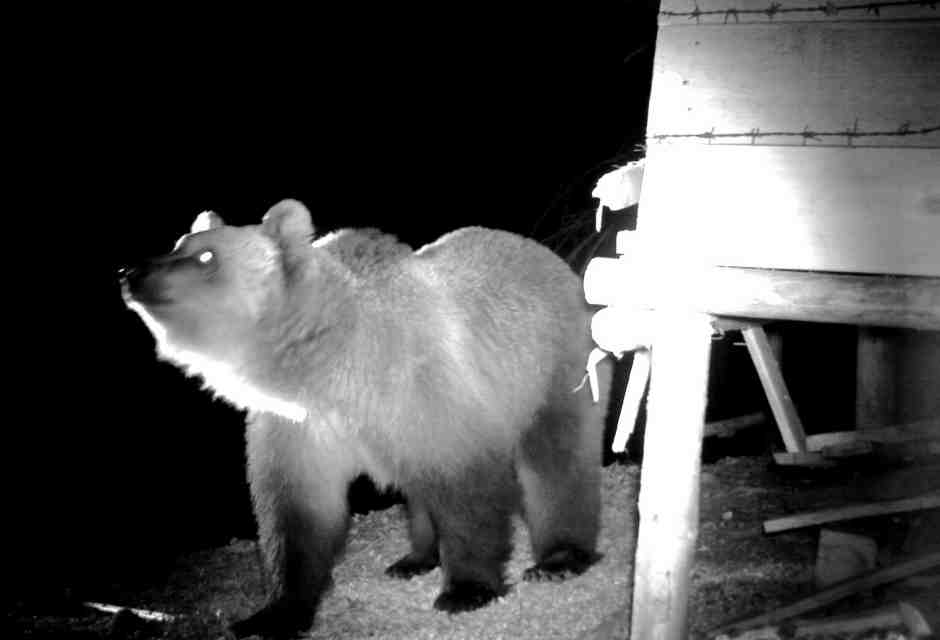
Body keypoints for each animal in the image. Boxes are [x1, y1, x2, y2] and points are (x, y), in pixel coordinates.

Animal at [121, 199, 609, 638]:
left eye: (206, 256)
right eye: (179, 243)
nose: (131, 274)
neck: (328, 363)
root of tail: (549, 256)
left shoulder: (421, 384)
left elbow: (465, 486)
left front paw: (466, 589)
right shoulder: (299, 424)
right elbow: (296, 511)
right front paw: (274, 612)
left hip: (553, 363)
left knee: (556, 458)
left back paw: (559, 559)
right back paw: (416, 558)